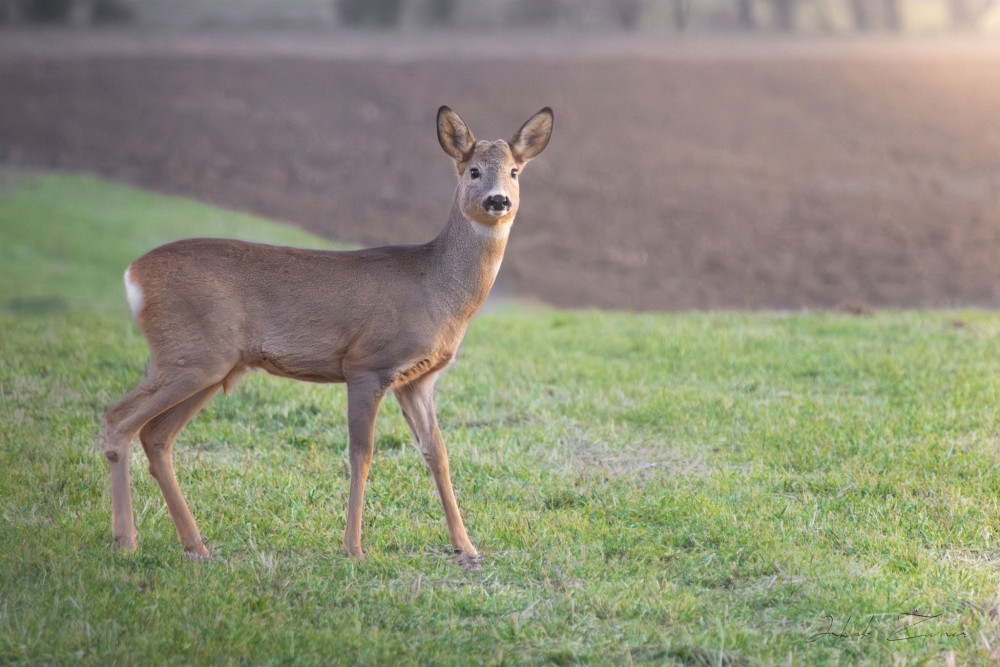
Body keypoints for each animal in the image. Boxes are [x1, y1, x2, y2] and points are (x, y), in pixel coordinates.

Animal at [99, 107, 556, 568]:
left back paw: (196, 546)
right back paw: (126, 541)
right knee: (118, 418)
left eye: (514, 171)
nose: (498, 200)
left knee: (156, 436)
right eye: (474, 170)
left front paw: (466, 546)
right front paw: (354, 548)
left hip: (212, 366)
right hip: (192, 354)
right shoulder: (366, 364)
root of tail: (133, 275)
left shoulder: (418, 379)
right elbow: (362, 454)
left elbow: (438, 454)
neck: (437, 288)